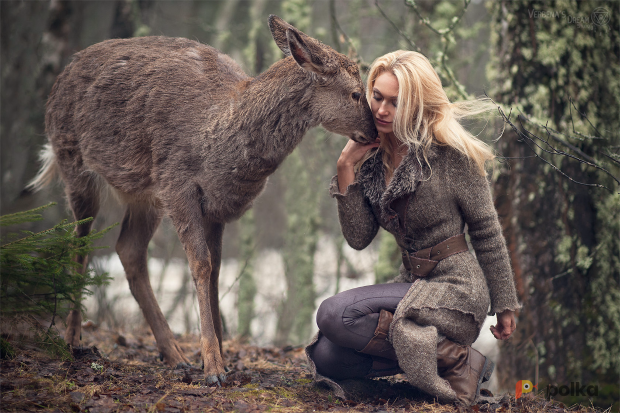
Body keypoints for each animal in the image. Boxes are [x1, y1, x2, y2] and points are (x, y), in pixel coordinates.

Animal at [29, 15, 376, 384]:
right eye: (356, 93)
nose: (373, 132)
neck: (218, 143)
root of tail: (62, 76)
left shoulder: (216, 205)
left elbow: (216, 270)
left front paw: (223, 359)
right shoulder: (176, 183)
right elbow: (201, 264)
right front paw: (212, 367)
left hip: (145, 194)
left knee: (129, 248)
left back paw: (174, 355)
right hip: (73, 160)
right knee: (80, 242)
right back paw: (73, 339)